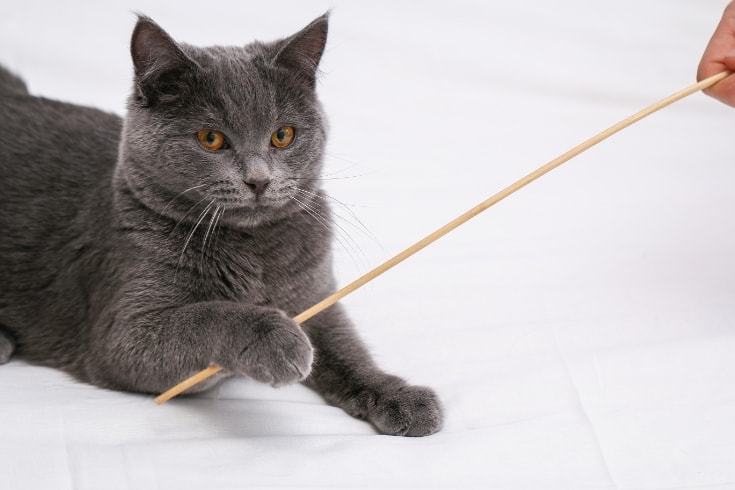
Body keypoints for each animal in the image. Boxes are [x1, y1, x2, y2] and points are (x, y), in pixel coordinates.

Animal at [0, 14, 442, 436]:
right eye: (210, 139)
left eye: (283, 135)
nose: (259, 180)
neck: (255, 250)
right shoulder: (120, 334)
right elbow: (208, 316)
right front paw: (276, 340)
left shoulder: (314, 296)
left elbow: (348, 349)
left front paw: (399, 397)